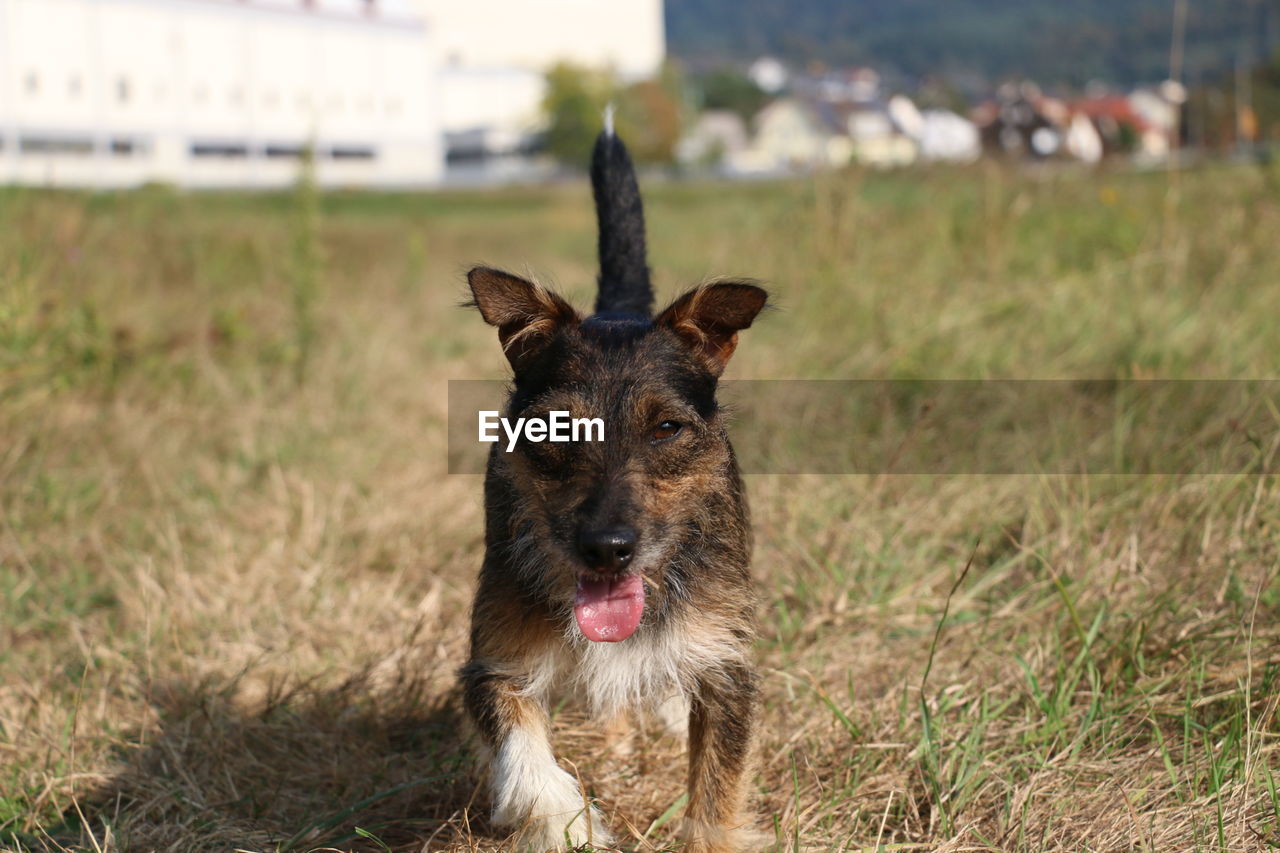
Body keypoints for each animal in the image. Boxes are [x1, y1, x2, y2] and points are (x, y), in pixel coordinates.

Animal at [458, 126, 757, 850]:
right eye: (559, 426)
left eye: (667, 428)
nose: (608, 547)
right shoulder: (493, 659)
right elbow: (521, 748)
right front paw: (565, 820)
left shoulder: (726, 666)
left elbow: (717, 789)